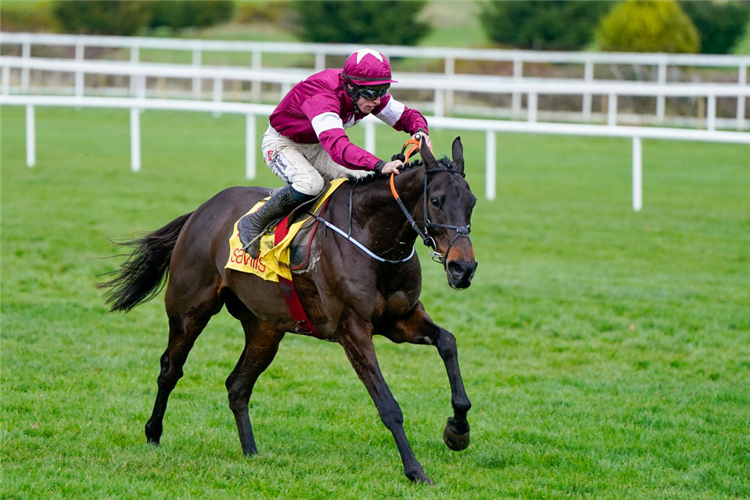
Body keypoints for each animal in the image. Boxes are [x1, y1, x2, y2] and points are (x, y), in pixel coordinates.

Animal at [100, 139, 478, 482]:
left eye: (472, 202)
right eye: (436, 200)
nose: (463, 269)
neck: (371, 237)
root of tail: (200, 211)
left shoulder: (400, 319)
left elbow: (448, 342)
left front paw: (457, 430)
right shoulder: (353, 329)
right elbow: (388, 406)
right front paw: (415, 470)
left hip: (265, 327)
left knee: (237, 385)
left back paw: (251, 451)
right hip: (189, 309)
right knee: (170, 370)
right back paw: (153, 433)